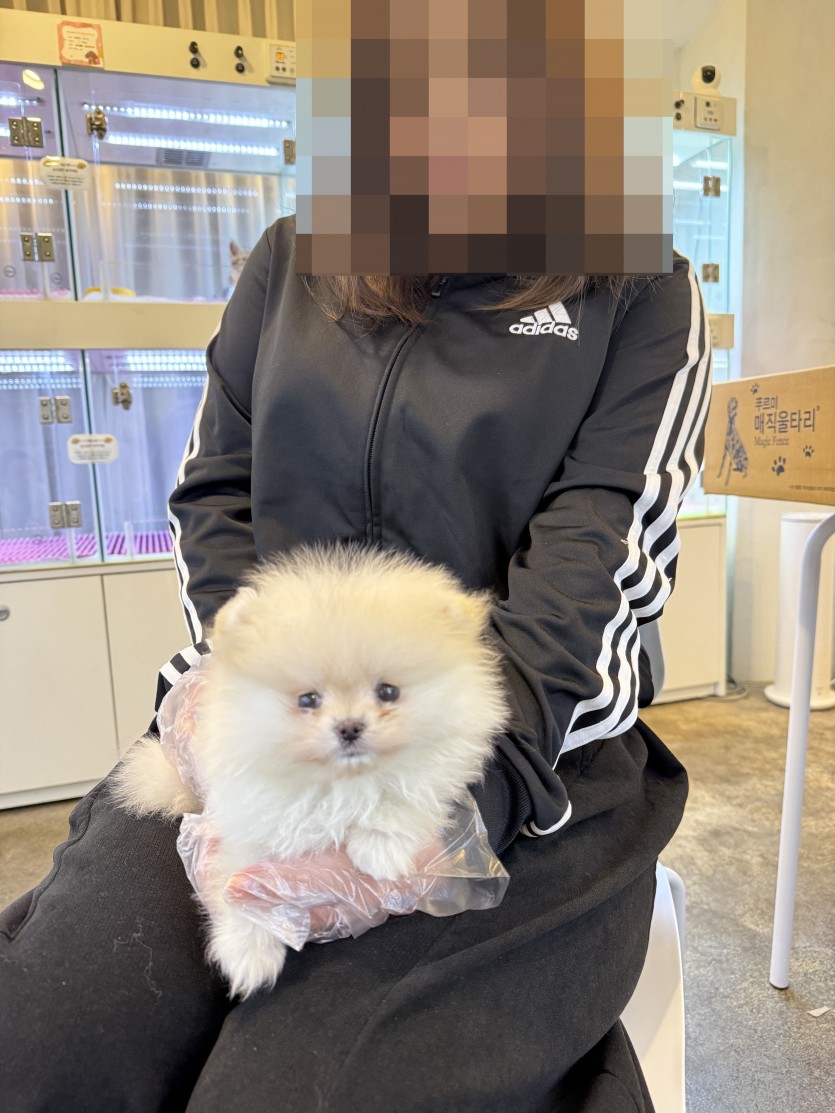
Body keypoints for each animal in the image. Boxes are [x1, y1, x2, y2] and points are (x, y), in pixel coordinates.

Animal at [110, 544, 508, 998]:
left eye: (388, 692)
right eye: (307, 700)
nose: (349, 727)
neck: (334, 785)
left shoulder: (442, 757)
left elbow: (405, 788)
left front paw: (380, 847)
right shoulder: (247, 832)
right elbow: (237, 895)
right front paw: (248, 955)